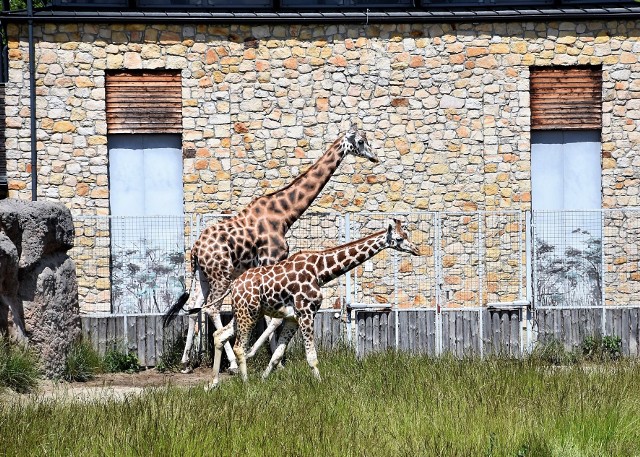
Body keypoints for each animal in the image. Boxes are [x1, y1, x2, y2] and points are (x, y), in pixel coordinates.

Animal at [162, 126, 378, 372]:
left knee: (194, 305)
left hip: (203, 275)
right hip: (221, 274)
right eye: (361, 141)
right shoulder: (270, 260)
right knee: (211, 308)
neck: (284, 215)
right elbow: (271, 316)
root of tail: (196, 249)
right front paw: (269, 358)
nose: (374, 157)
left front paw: (274, 358)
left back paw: (186, 361)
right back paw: (232, 363)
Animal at [210, 218, 420, 384]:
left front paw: (263, 380)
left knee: (220, 335)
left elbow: (277, 355)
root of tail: (233, 285)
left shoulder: (292, 318)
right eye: (400, 238)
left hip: (244, 312)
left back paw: (213, 384)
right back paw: (245, 384)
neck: (320, 272)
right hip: (248, 313)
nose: (417, 249)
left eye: (407, 234)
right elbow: (312, 357)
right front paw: (320, 386)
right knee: (239, 346)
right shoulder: (306, 313)